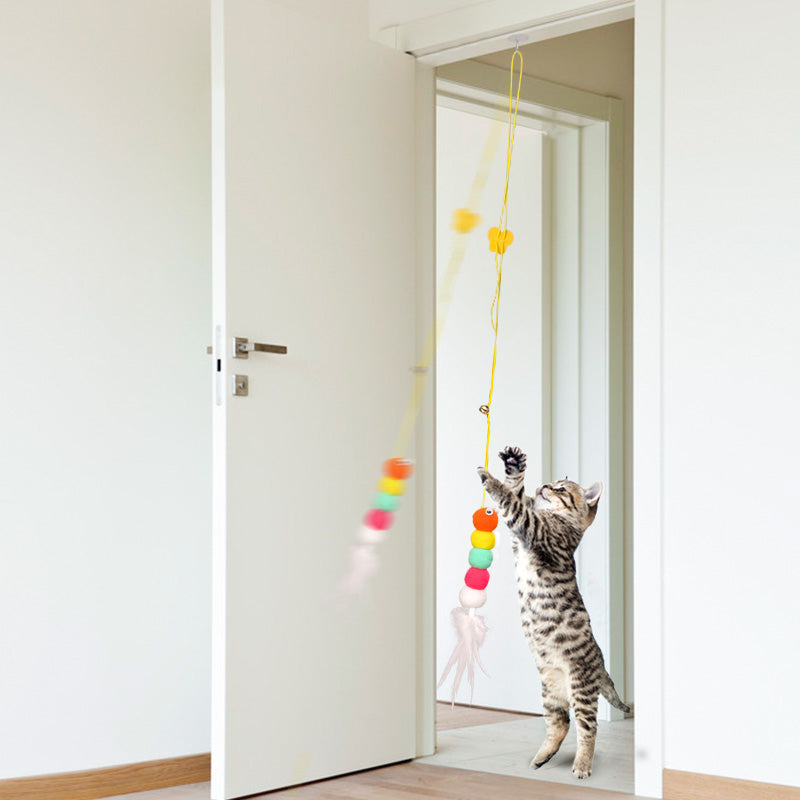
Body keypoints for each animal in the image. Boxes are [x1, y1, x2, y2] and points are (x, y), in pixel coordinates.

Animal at [476, 446, 632, 780]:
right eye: (553, 483)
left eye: (561, 489)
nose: (545, 485)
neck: (563, 522)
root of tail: (602, 667)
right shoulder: (521, 536)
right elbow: (516, 491)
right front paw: (514, 464)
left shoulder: (531, 528)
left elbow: (509, 498)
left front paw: (490, 478)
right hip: (550, 691)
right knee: (560, 725)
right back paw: (542, 757)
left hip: (581, 690)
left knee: (588, 729)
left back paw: (582, 765)